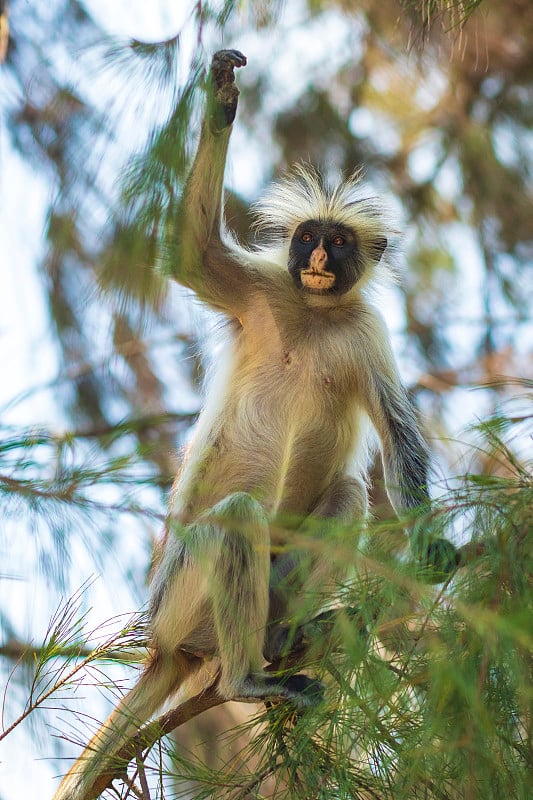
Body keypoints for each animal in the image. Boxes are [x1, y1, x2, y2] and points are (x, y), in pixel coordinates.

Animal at [52, 51, 458, 800]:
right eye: (306, 239)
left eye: (337, 241)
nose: (319, 261)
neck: (314, 314)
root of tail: (166, 648)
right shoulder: (266, 289)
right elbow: (193, 255)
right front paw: (221, 98)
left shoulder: (364, 330)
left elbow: (399, 441)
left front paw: (428, 545)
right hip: (184, 595)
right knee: (238, 516)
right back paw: (247, 679)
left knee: (346, 494)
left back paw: (279, 643)